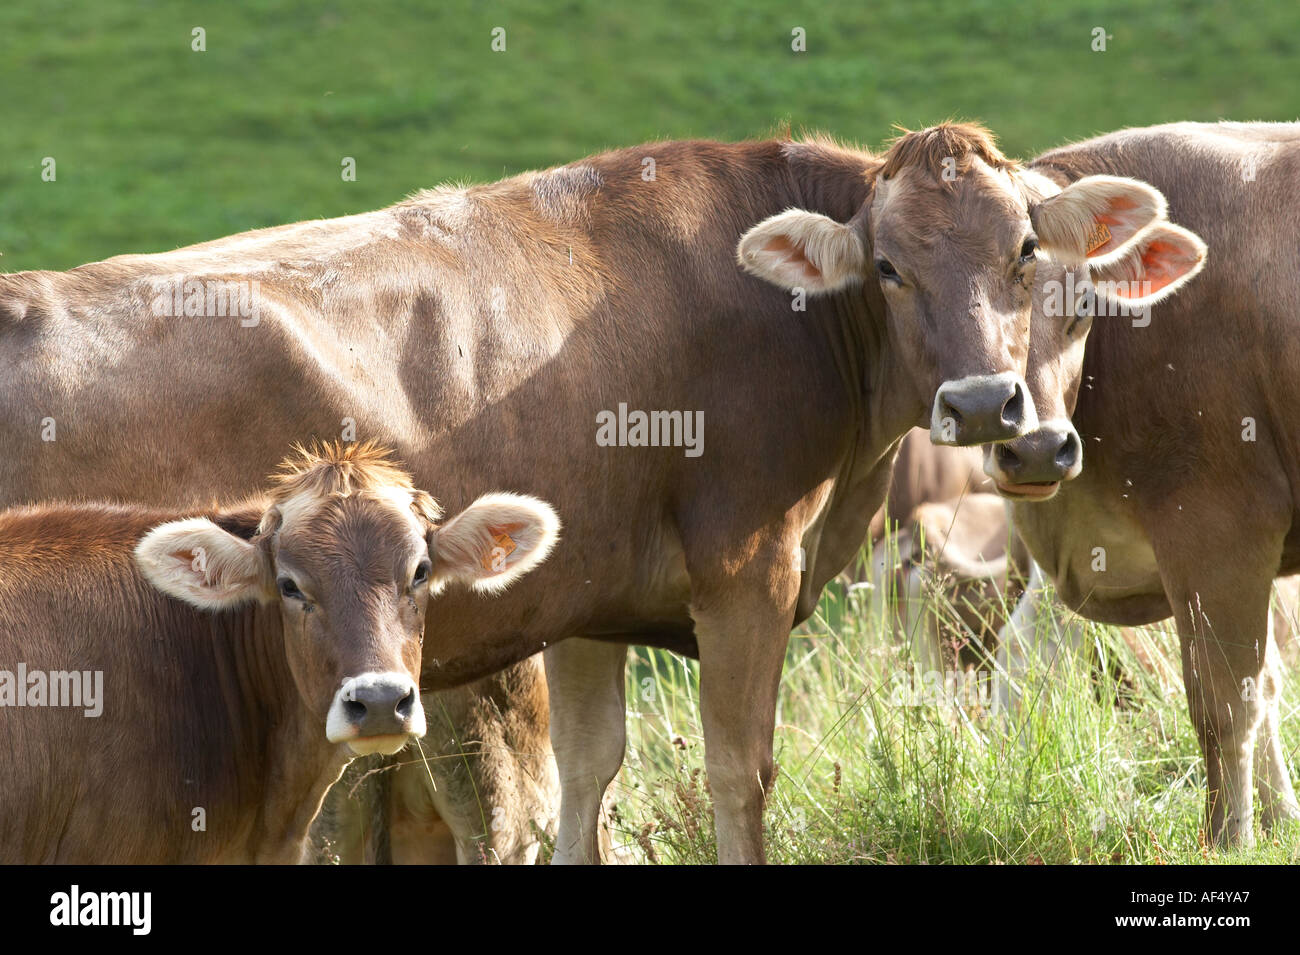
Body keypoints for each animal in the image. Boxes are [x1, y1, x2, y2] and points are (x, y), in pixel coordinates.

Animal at [984, 121, 1300, 846]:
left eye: (1081, 308)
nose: (1035, 448)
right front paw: (1280, 820)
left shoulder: (1219, 528)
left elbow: (1227, 698)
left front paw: (1230, 838)